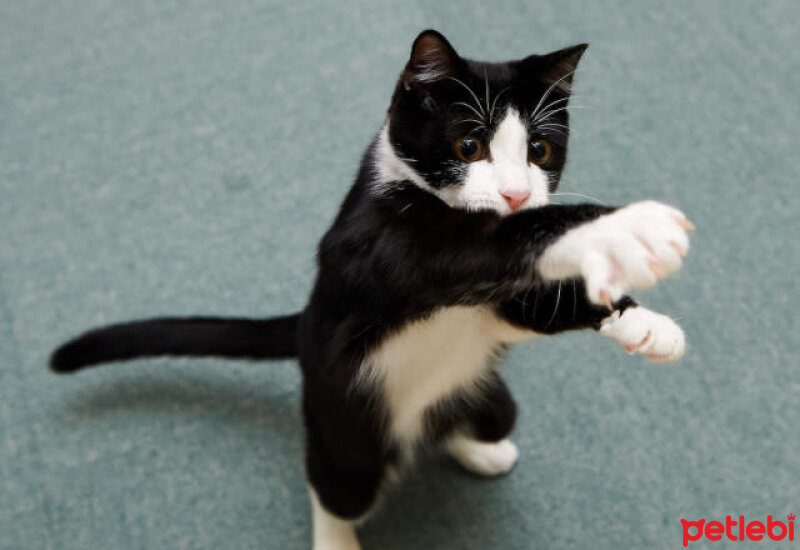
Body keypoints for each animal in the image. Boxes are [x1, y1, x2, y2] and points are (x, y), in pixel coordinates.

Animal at [50, 29, 692, 550]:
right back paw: (337, 536)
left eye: (540, 150)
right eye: (468, 146)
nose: (515, 194)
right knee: (332, 486)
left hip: (489, 401)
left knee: (473, 417)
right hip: (343, 428)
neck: (414, 192)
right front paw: (630, 227)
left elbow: (532, 300)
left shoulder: (494, 302)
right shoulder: (386, 247)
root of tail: (304, 322)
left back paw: (479, 446)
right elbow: (502, 238)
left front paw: (644, 323)